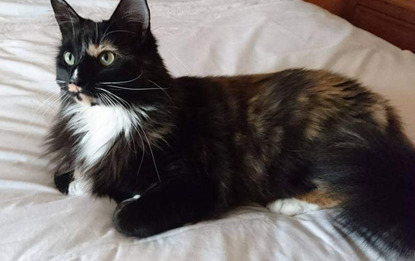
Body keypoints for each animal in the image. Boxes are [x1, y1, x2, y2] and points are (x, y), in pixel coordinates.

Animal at [48, 0, 415, 256]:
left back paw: (286, 204)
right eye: (69, 58)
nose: (75, 81)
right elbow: (69, 179)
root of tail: (383, 108)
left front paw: (128, 200)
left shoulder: (199, 183)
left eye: (107, 58)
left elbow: (123, 216)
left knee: (347, 190)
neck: (116, 113)